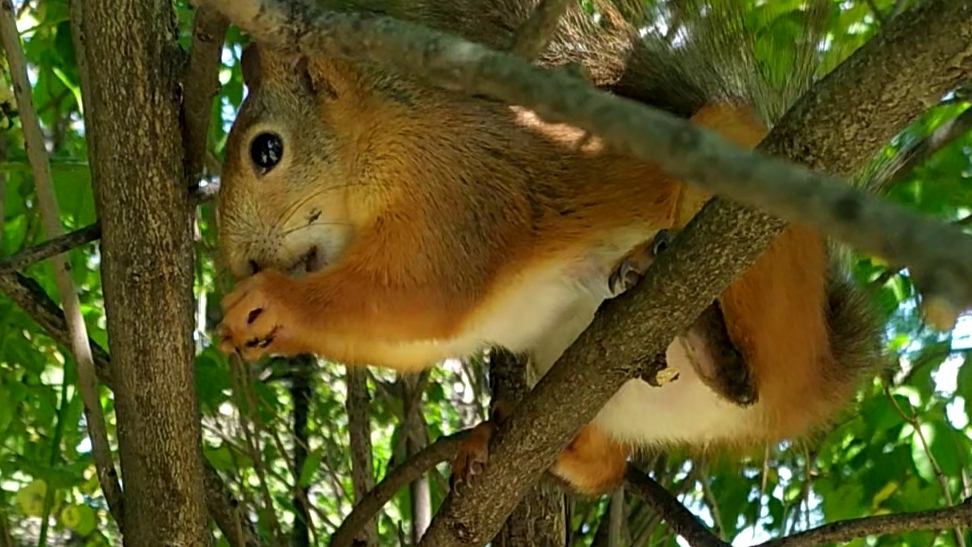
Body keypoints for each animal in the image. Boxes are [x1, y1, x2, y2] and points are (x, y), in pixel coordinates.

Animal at [214, 0, 885, 496]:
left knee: (754, 367)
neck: (386, 140)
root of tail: (823, 376)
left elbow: (427, 294)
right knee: (610, 469)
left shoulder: (463, 194)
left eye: (266, 150)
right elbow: (419, 335)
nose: (242, 264)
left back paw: (709, 341)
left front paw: (271, 303)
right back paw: (518, 441)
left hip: (753, 235)